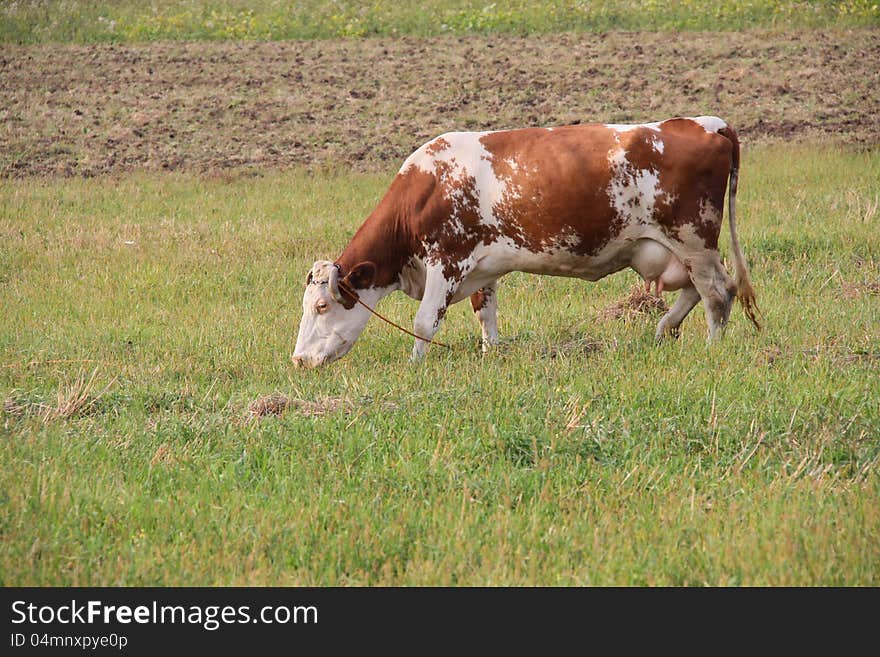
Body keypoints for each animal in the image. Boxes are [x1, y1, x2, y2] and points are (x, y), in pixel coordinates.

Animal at [292, 114, 760, 366]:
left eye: (321, 306)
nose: (298, 360)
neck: (428, 186)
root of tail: (705, 123)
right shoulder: (482, 269)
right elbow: (486, 314)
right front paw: (490, 354)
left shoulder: (447, 260)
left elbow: (425, 321)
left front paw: (414, 365)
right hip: (679, 249)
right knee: (699, 290)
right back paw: (664, 328)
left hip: (693, 239)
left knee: (718, 292)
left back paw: (711, 347)